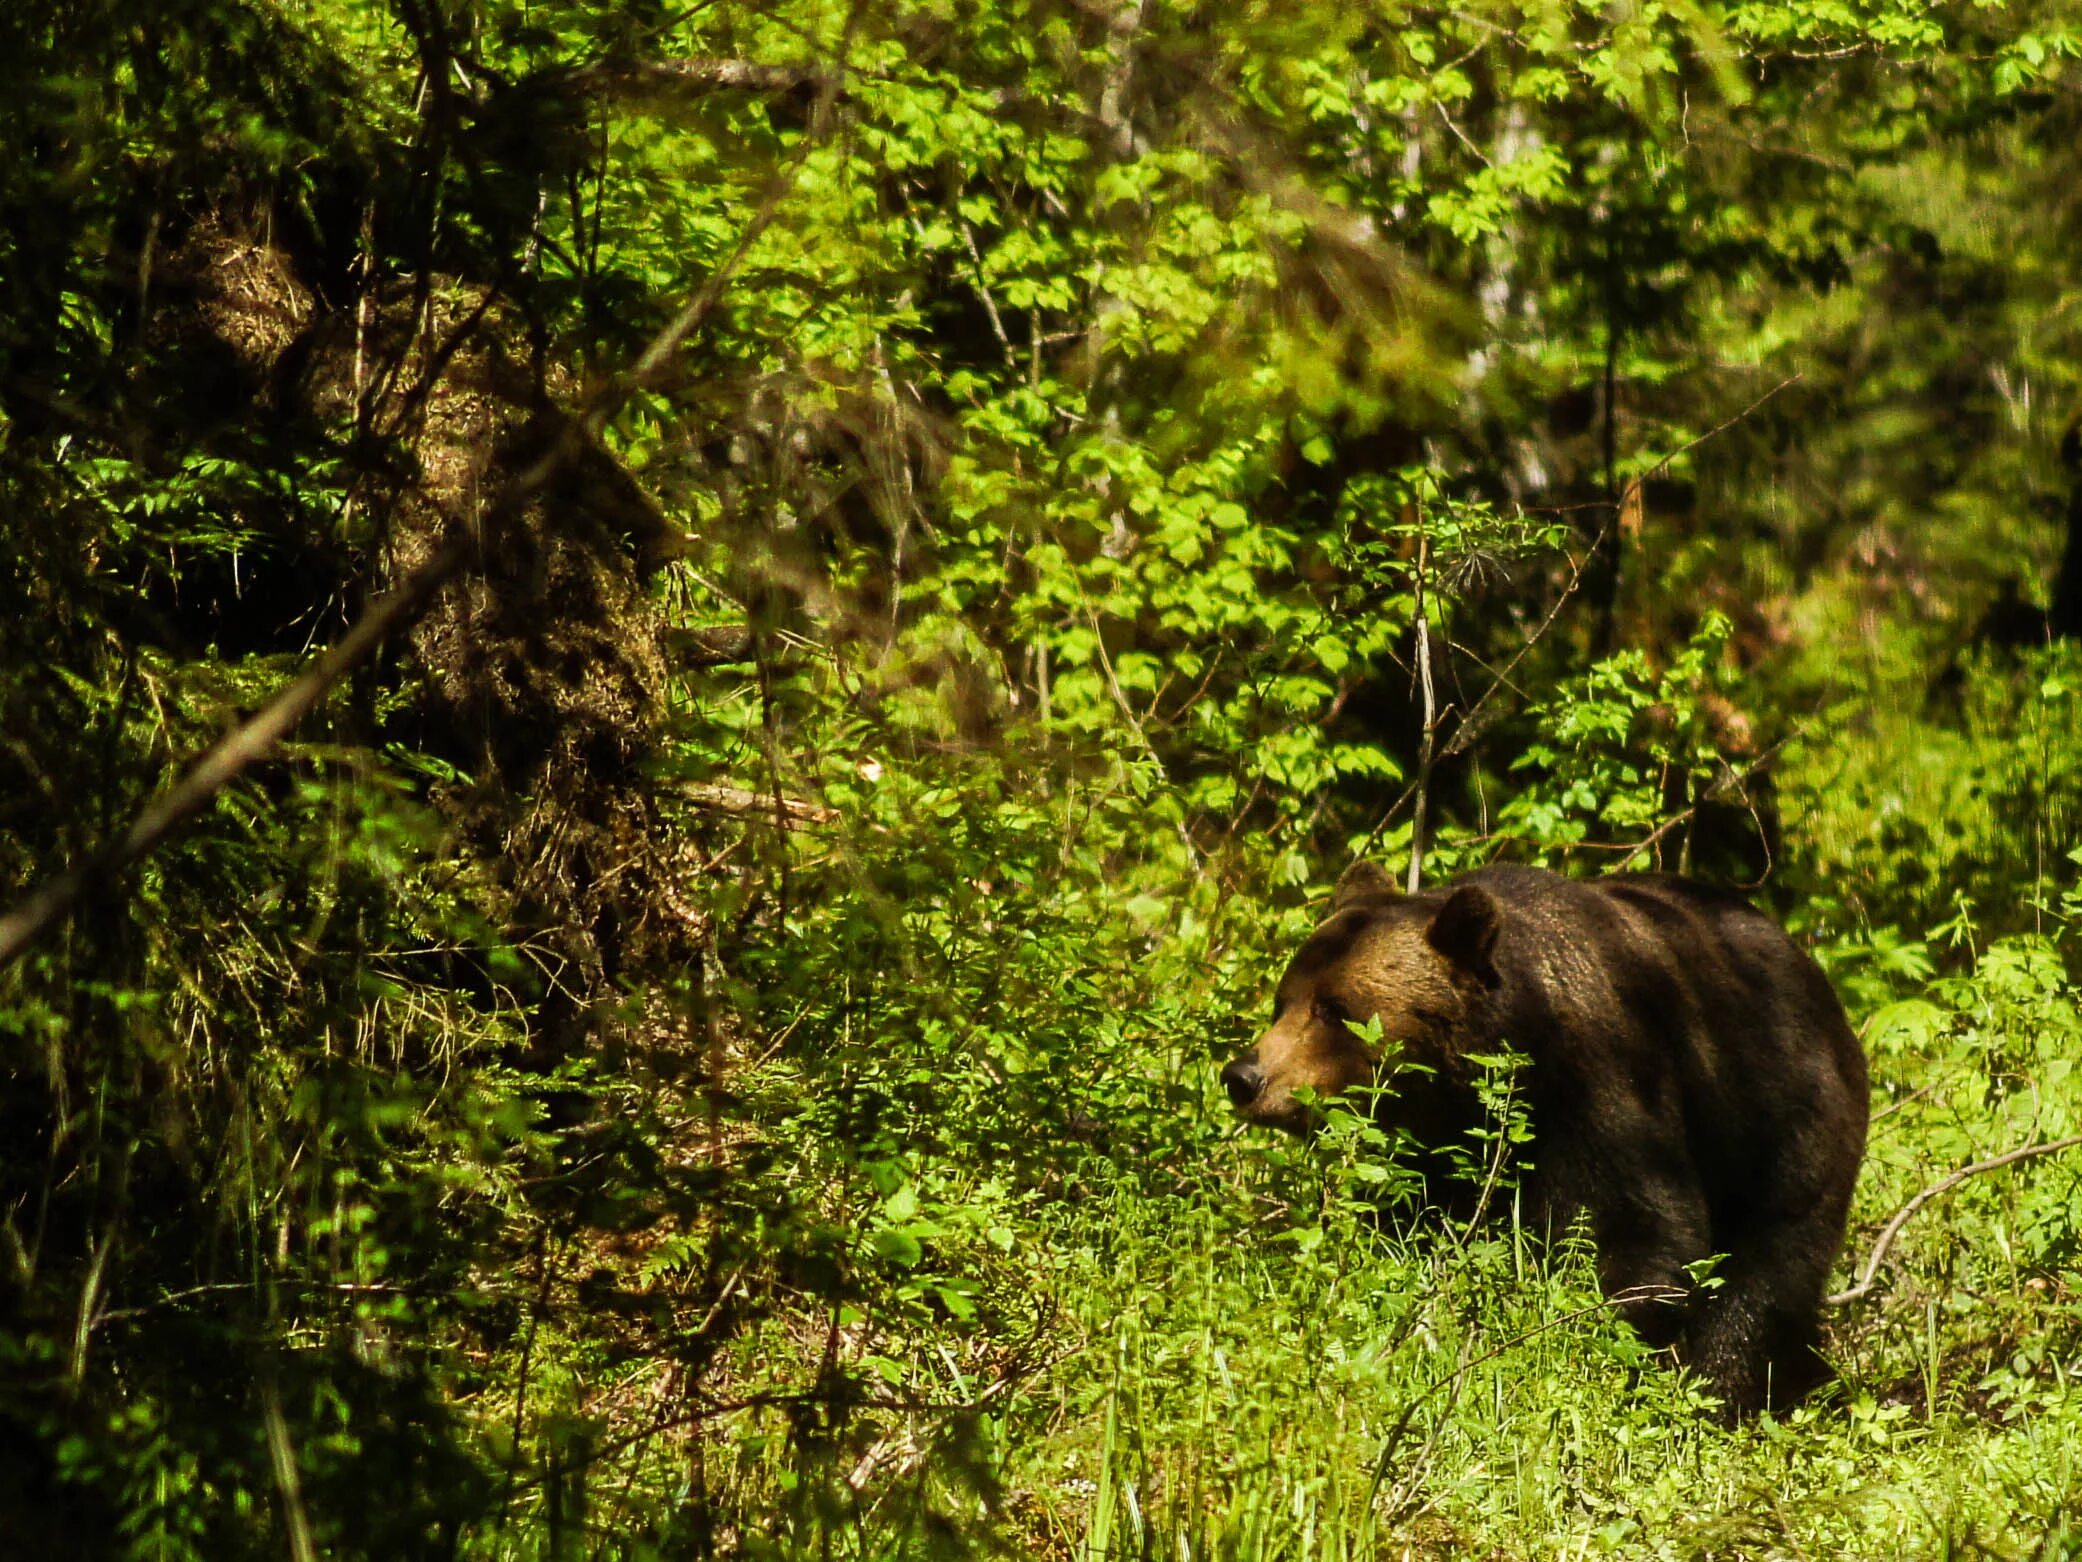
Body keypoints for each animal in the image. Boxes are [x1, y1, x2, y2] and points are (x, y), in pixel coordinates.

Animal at [1215, 862, 1873, 1424]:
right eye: (1283, 1001)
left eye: (1334, 1009)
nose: (1244, 1077)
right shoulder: (1432, 1150)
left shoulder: (1602, 1083)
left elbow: (1640, 1232)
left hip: (1785, 1114)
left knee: (1768, 1265)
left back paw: (1724, 1392)